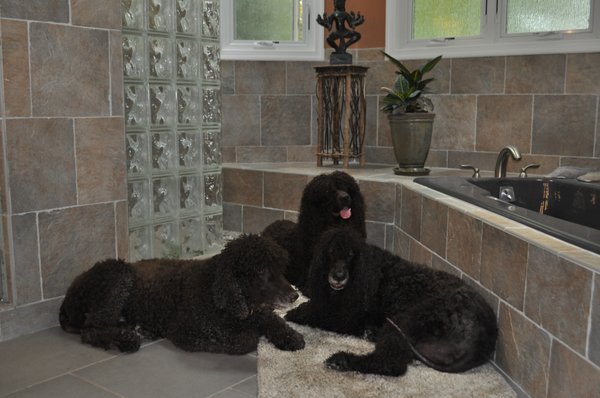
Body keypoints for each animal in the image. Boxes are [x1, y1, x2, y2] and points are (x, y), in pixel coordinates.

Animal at [60, 233, 304, 354]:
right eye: (261, 271)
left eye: (281, 267)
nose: (295, 295)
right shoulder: (186, 333)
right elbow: (244, 340)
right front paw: (252, 337)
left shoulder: (261, 313)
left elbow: (274, 321)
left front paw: (290, 336)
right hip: (118, 276)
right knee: (91, 330)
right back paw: (126, 339)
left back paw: (138, 329)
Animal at [286, 227, 496, 376]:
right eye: (330, 252)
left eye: (350, 255)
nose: (338, 276)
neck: (362, 270)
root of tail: (480, 340)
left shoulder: (347, 316)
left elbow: (319, 313)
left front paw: (297, 312)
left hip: (408, 320)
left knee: (390, 363)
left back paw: (342, 360)